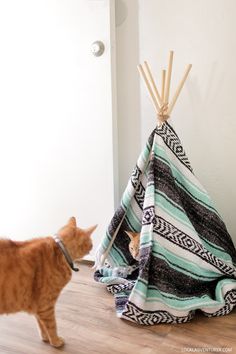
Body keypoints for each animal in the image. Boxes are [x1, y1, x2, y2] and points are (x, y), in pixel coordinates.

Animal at [0, 217, 97, 348]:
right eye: (91, 243)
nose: (92, 248)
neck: (61, 252)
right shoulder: (46, 306)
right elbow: (52, 326)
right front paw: (56, 341)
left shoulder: (39, 307)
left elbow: (41, 324)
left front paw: (46, 338)